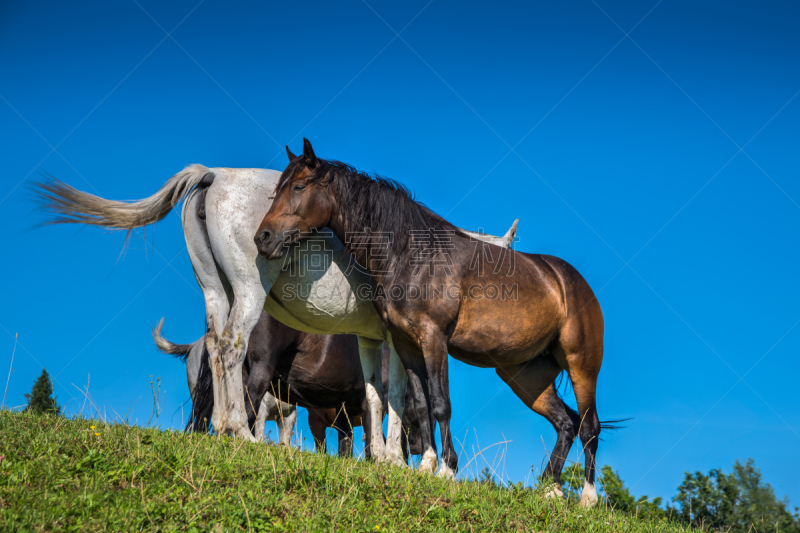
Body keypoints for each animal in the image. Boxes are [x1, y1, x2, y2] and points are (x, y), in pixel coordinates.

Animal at [36, 166, 520, 474]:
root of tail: (215, 174)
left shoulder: (372, 339)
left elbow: (378, 397)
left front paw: (384, 457)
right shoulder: (397, 340)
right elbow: (402, 397)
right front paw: (402, 460)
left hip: (217, 292)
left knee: (217, 345)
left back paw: (223, 427)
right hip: (249, 294)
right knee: (232, 346)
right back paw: (240, 431)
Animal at [253, 139, 608, 504]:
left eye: (297, 187)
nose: (263, 238)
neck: (411, 255)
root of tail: (569, 281)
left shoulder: (434, 338)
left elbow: (441, 404)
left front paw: (448, 469)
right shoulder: (407, 344)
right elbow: (422, 405)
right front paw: (426, 465)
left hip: (581, 364)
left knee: (589, 425)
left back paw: (588, 498)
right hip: (524, 375)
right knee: (566, 422)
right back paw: (550, 488)